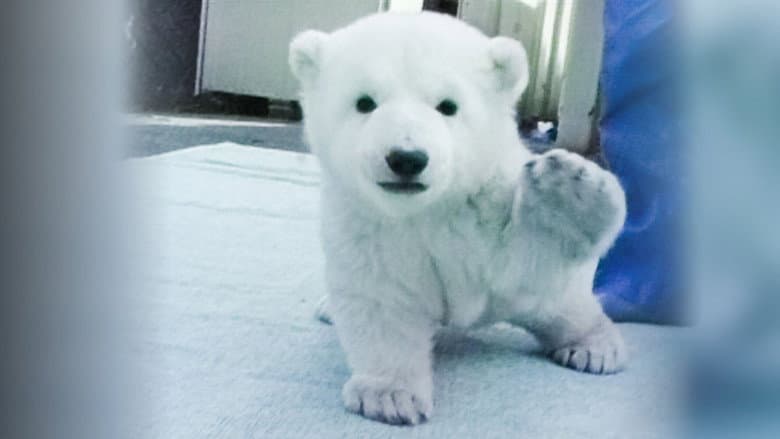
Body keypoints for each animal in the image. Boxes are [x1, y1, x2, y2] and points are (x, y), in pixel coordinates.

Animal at [289, 12, 627, 425]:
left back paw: (595, 347)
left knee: (566, 308)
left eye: (447, 106)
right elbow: (383, 298)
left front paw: (566, 192)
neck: (430, 207)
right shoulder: (370, 227)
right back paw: (327, 309)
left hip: (553, 299)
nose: (406, 158)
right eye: (364, 102)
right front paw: (390, 396)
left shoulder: (490, 202)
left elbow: (525, 262)